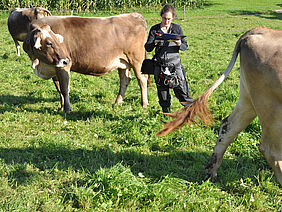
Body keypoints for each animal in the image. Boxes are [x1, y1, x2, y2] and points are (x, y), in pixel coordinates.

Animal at [158, 26, 280, 186]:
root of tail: (258, 29)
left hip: (248, 98)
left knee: (227, 127)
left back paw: (211, 172)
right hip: (270, 106)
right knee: (270, 149)